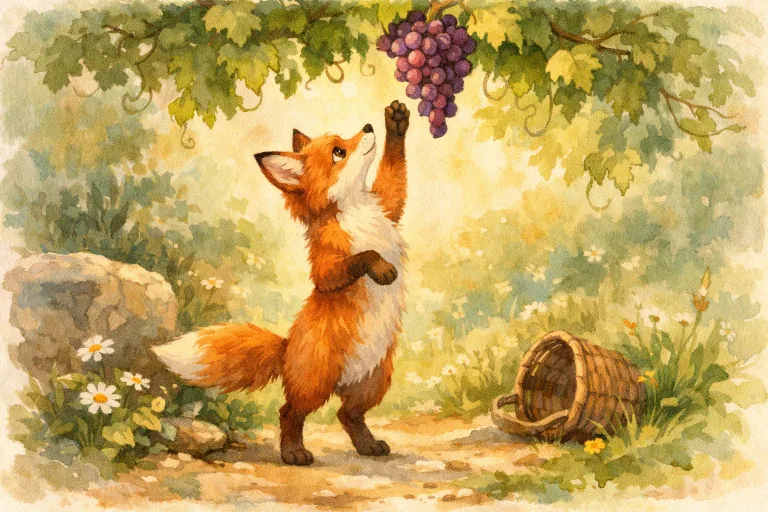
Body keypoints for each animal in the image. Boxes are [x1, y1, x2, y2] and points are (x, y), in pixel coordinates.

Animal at [152, 100, 410, 465]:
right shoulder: (326, 266)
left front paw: (397, 121)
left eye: (343, 141)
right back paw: (293, 452)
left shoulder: (388, 207)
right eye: (338, 151)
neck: (356, 210)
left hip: (374, 382)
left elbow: (394, 182)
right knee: (289, 412)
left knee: (347, 414)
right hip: (315, 383)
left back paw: (367, 446)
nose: (368, 127)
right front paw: (382, 269)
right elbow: (362, 257)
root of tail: (287, 347)